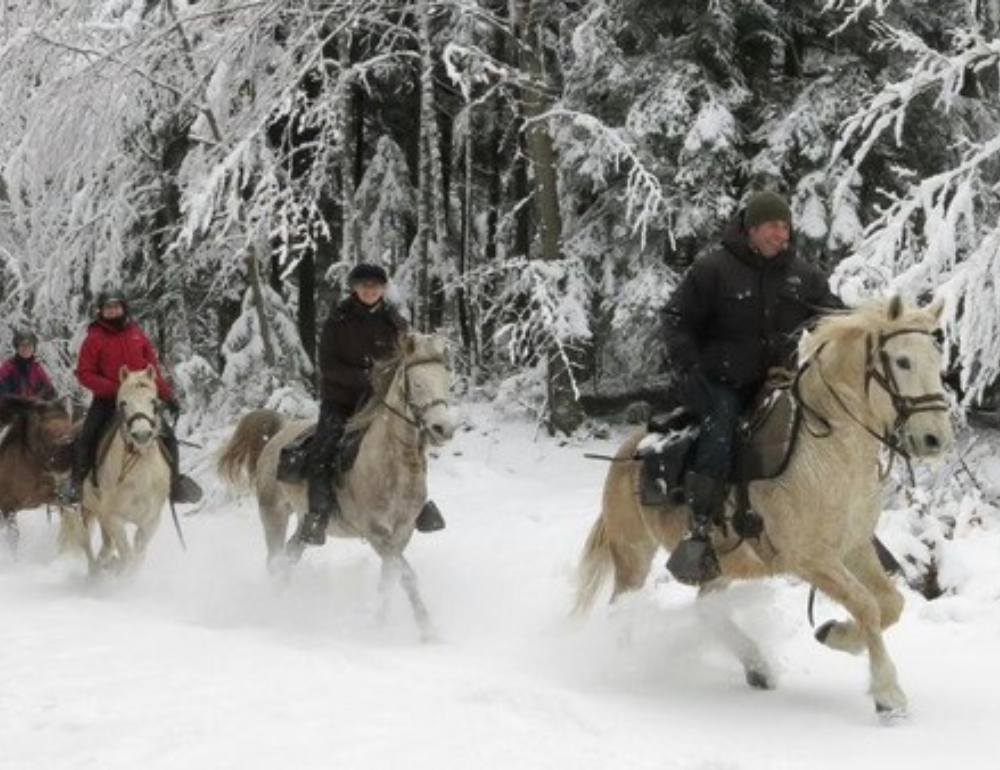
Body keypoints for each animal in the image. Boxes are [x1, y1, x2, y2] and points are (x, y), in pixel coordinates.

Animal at [0, 396, 76, 552]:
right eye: (44, 430)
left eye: (69, 425)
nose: (65, 463)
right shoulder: (7, 506)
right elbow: (13, 537)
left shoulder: (48, 496)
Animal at [576, 296, 948, 716]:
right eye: (902, 361)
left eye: (938, 358)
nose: (935, 438)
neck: (830, 450)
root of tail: (629, 449)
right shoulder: (811, 560)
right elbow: (867, 605)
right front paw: (888, 694)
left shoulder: (854, 548)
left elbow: (890, 604)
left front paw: (835, 634)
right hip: (633, 552)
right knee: (620, 607)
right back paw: (626, 664)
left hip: (721, 565)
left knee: (706, 608)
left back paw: (757, 667)